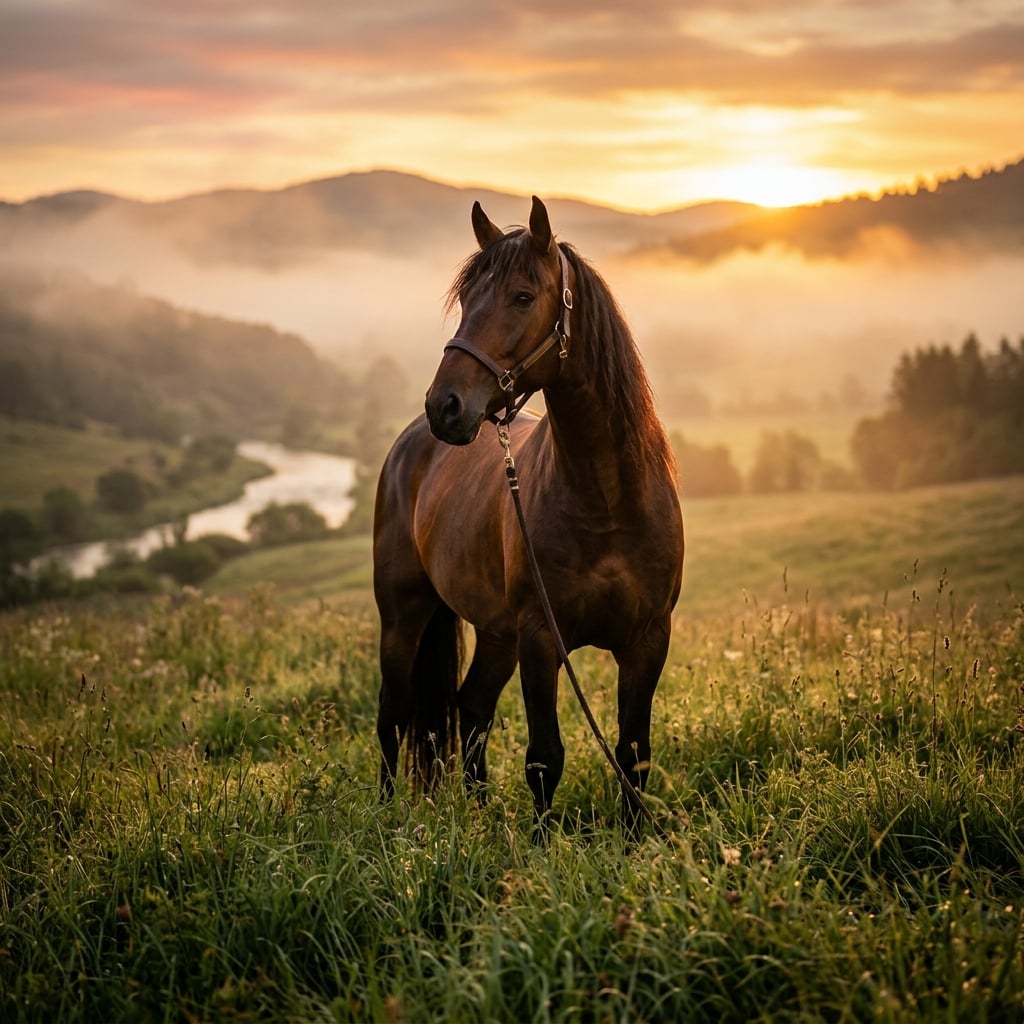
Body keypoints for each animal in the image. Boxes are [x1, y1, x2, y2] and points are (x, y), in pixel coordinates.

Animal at [373, 195, 684, 834]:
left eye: (521, 296)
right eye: (466, 298)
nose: (445, 407)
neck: (606, 498)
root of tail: (410, 443)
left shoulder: (648, 640)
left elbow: (632, 754)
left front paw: (635, 841)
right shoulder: (541, 638)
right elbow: (545, 758)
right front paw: (540, 848)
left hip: (497, 633)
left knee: (471, 707)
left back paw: (480, 814)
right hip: (404, 616)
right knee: (394, 714)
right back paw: (388, 818)